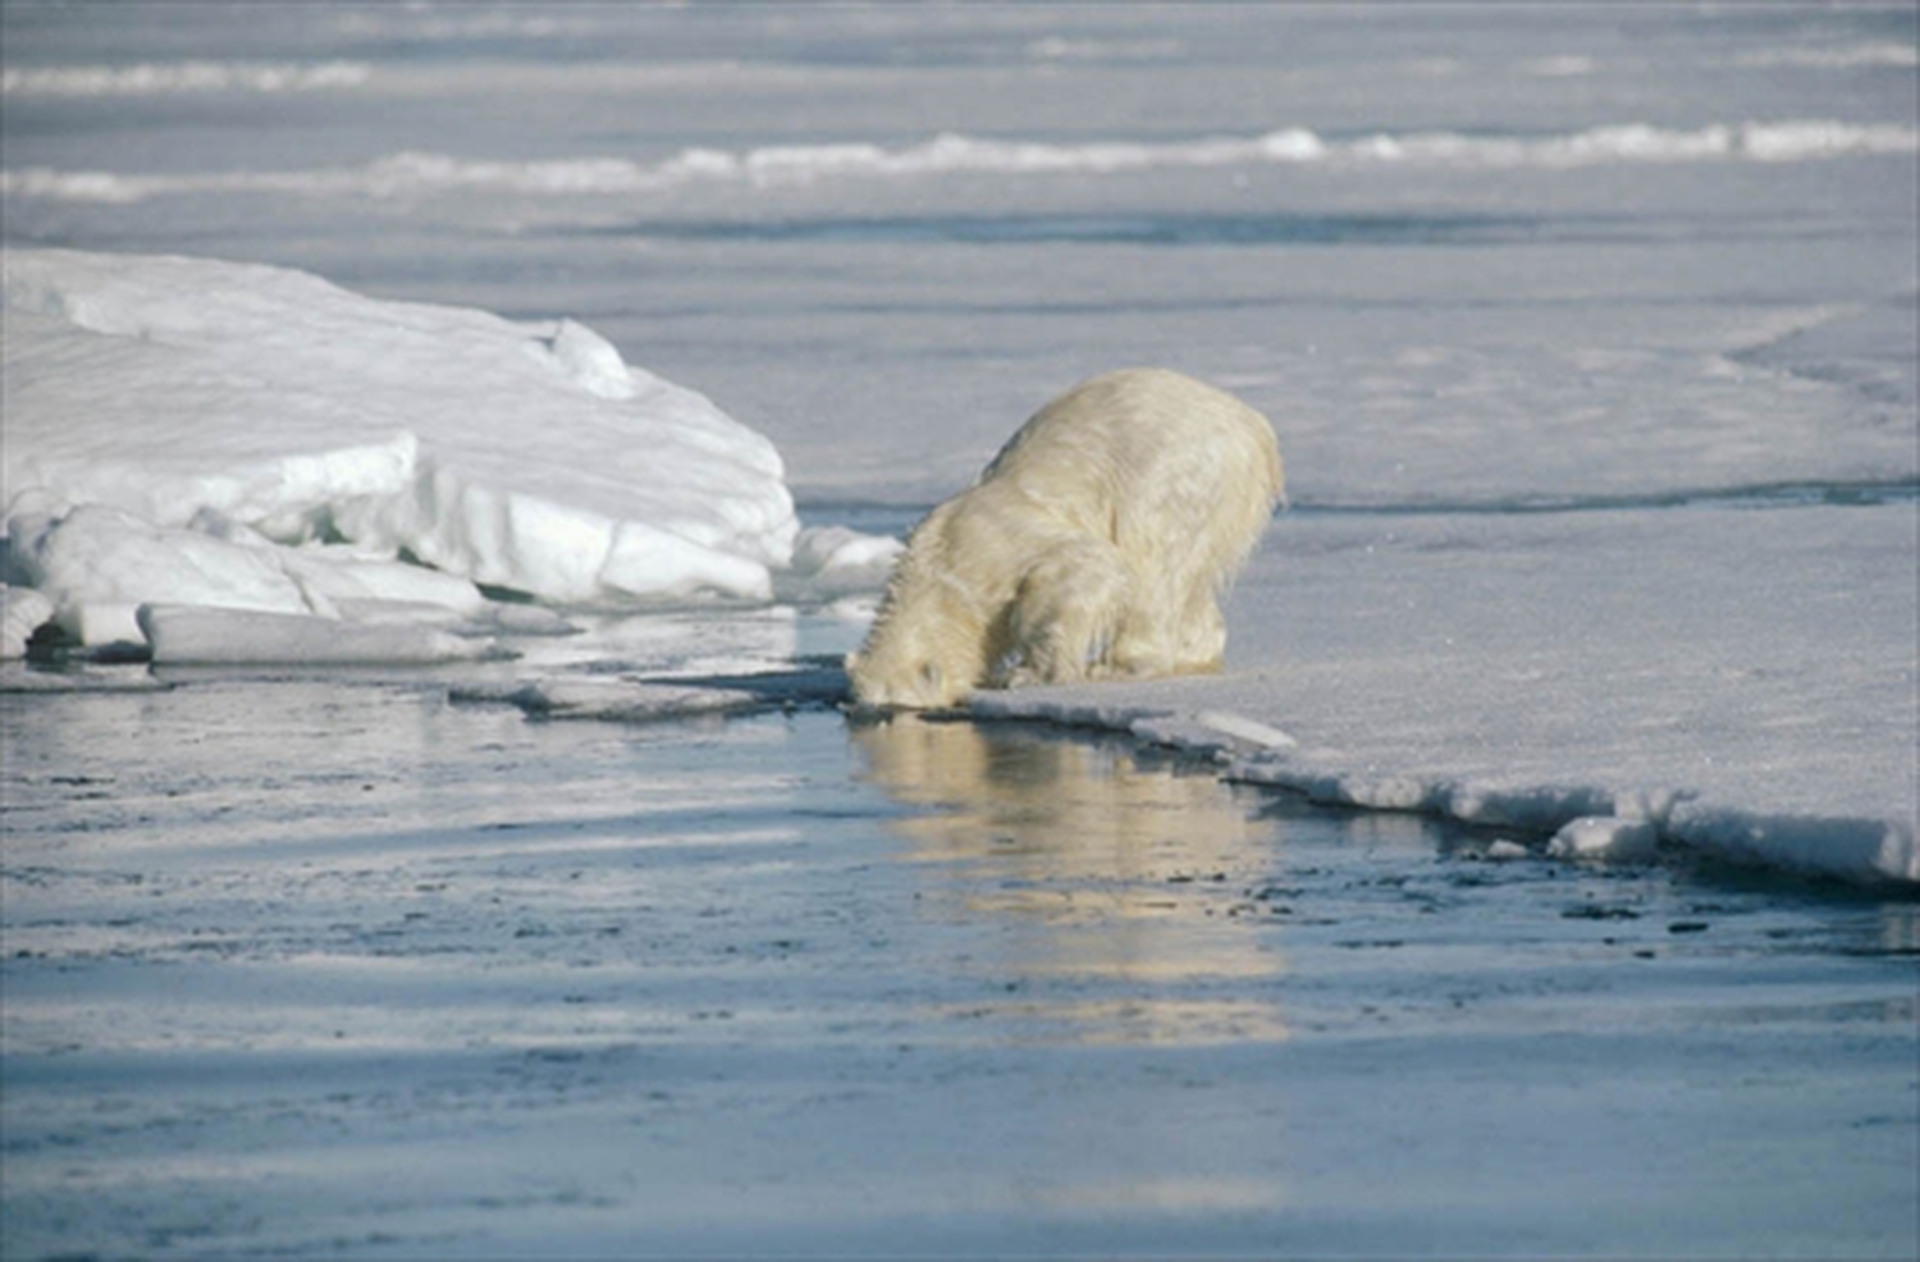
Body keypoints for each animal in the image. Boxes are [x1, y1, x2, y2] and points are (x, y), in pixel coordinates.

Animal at [847, 367, 1283, 709]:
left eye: (901, 706)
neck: (941, 561)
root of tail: (1255, 427)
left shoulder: (1000, 544)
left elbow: (1086, 566)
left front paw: (1027, 674)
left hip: (1178, 478)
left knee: (1153, 566)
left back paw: (1116, 665)